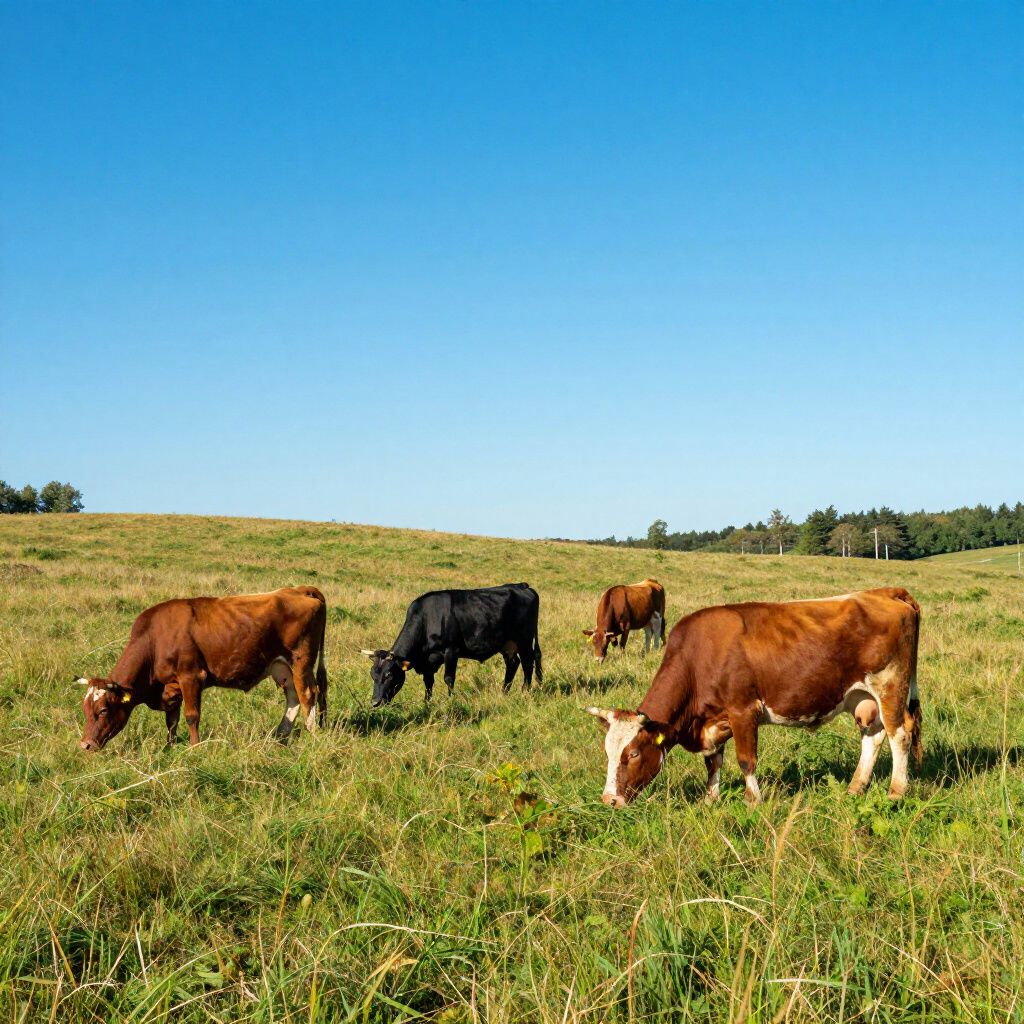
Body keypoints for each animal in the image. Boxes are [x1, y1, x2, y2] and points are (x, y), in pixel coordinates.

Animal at [77, 586, 328, 751]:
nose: (85, 745)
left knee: (308, 695)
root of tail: (299, 589)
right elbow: (172, 720)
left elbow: (191, 716)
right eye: (85, 710)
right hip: (281, 668)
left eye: (103, 710)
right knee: (293, 697)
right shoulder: (171, 686)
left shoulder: (191, 676)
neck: (154, 639)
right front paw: (169, 748)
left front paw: (194, 748)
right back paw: (280, 737)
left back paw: (311, 736)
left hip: (300, 662)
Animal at [361, 583, 542, 707]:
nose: (375, 702)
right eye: (372, 675)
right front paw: (426, 703)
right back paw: (504, 692)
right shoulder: (428, 662)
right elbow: (428, 682)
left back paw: (525, 692)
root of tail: (522, 586)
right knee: (513, 663)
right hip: (507, 644)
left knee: (528, 663)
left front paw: (450, 701)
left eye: (389, 675)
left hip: (524, 640)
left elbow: (448, 678)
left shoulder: (451, 651)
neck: (427, 619)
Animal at [586, 587, 922, 807]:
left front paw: (752, 799)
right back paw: (855, 788)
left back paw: (896, 791)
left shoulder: (743, 711)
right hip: (861, 698)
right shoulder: (714, 721)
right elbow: (713, 762)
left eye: (633, 754)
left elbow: (746, 760)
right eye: (607, 752)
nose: (609, 799)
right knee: (873, 737)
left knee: (900, 735)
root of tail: (885, 592)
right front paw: (711, 799)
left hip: (890, 686)